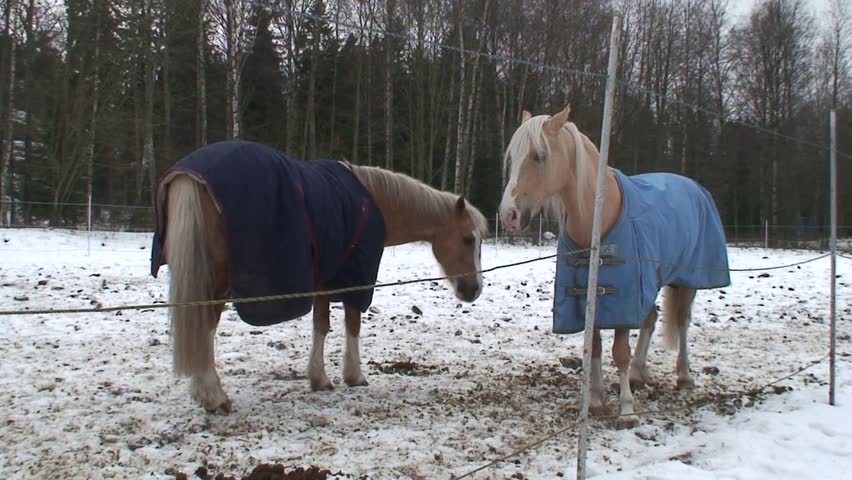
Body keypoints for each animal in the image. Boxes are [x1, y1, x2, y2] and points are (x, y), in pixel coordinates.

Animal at [150, 140, 488, 414]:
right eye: (468, 240)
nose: (473, 290)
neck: (373, 201)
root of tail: (188, 175)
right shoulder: (356, 276)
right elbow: (352, 324)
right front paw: (353, 376)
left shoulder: (325, 279)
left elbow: (321, 326)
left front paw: (319, 378)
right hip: (217, 279)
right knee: (205, 327)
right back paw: (214, 396)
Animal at [498, 106, 730, 428]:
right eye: (512, 157)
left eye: (539, 156)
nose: (508, 215)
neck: (596, 221)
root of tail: (694, 187)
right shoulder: (589, 296)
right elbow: (594, 346)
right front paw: (595, 402)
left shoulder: (622, 297)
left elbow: (619, 352)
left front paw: (627, 411)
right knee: (650, 319)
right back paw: (639, 374)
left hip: (686, 281)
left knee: (682, 322)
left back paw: (684, 376)